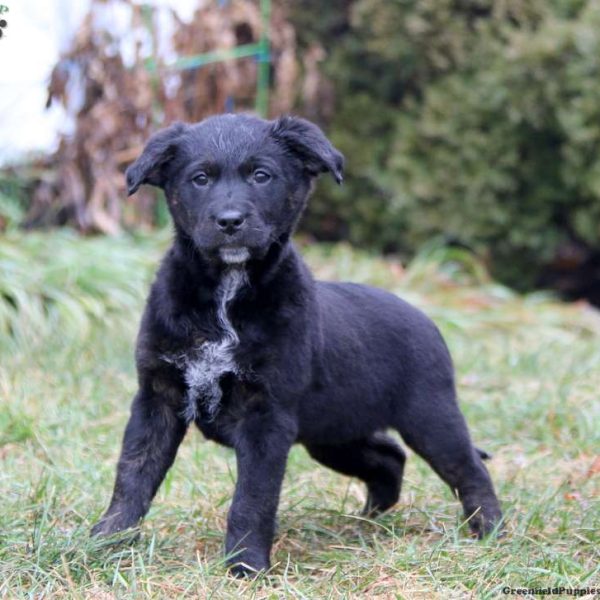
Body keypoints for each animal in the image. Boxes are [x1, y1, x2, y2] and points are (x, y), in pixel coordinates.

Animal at [92, 113, 502, 576]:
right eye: (200, 178)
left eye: (261, 175)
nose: (230, 221)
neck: (227, 294)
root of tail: (426, 319)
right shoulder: (157, 398)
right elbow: (133, 474)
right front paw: (106, 542)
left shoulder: (267, 416)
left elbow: (252, 498)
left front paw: (245, 566)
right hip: (334, 432)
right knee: (389, 457)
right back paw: (368, 523)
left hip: (430, 416)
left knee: (467, 468)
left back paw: (490, 532)